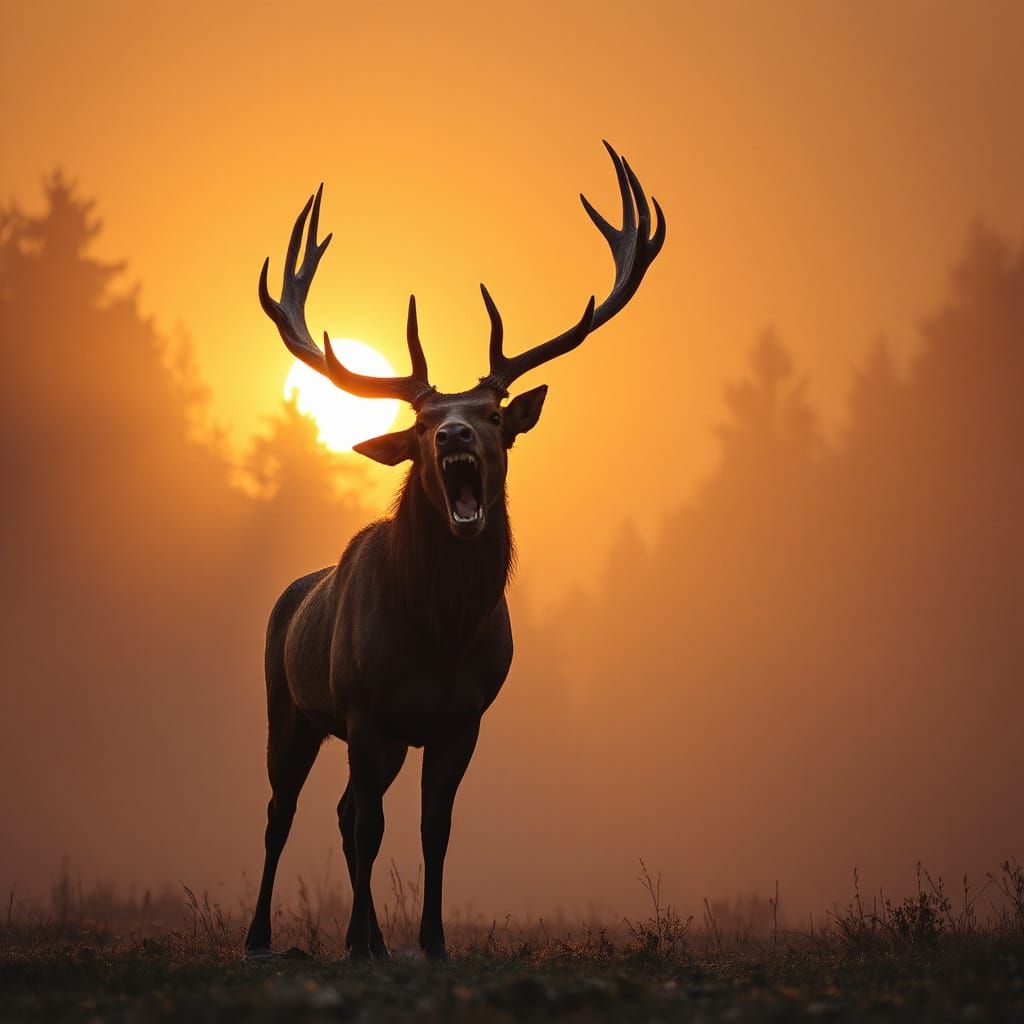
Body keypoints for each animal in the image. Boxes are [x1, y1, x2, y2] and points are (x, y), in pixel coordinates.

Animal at [244, 142, 665, 961]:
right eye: (422, 421)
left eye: (494, 413)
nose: (454, 433)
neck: (438, 633)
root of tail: (288, 593)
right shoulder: (363, 705)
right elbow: (371, 829)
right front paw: (359, 943)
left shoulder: (461, 717)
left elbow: (432, 830)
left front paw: (430, 942)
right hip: (290, 704)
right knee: (285, 812)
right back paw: (261, 937)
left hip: (378, 737)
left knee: (341, 812)